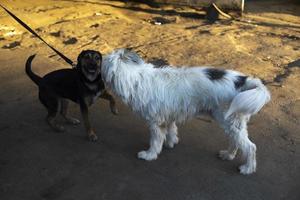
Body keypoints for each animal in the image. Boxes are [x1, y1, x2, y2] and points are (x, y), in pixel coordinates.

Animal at [102, 48, 270, 173]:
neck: (137, 80)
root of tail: (244, 81)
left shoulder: (156, 122)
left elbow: (155, 141)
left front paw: (150, 155)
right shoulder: (168, 116)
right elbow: (172, 130)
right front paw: (171, 142)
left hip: (229, 120)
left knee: (250, 147)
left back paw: (247, 168)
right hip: (231, 122)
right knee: (236, 141)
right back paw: (228, 155)